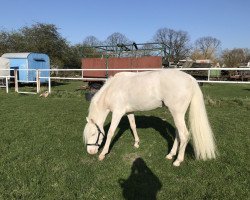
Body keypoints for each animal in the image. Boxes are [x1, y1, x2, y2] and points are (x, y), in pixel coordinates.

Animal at [83, 69, 217, 166]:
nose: (90, 152)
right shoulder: (129, 112)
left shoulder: (118, 113)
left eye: (94, 134)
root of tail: (190, 78)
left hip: (177, 113)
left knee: (184, 135)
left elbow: (111, 132)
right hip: (177, 114)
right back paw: (170, 154)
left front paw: (103, 154)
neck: (113, 89)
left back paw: (177, 161)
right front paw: (137, 143)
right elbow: (133, 126)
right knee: (178, 134)